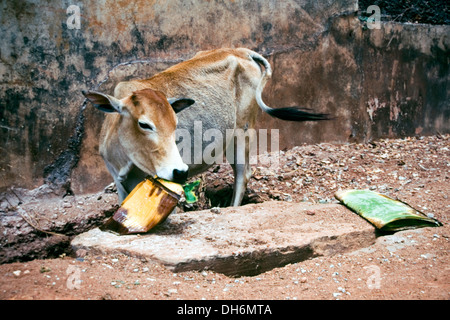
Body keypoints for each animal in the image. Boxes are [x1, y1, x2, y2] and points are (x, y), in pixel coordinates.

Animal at [82, 48, 328, 206]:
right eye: (144, 124)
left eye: (175, 124)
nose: (180, 171)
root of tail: (240, 51)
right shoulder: (119, 181)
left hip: (242, 131)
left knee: (243, 174)